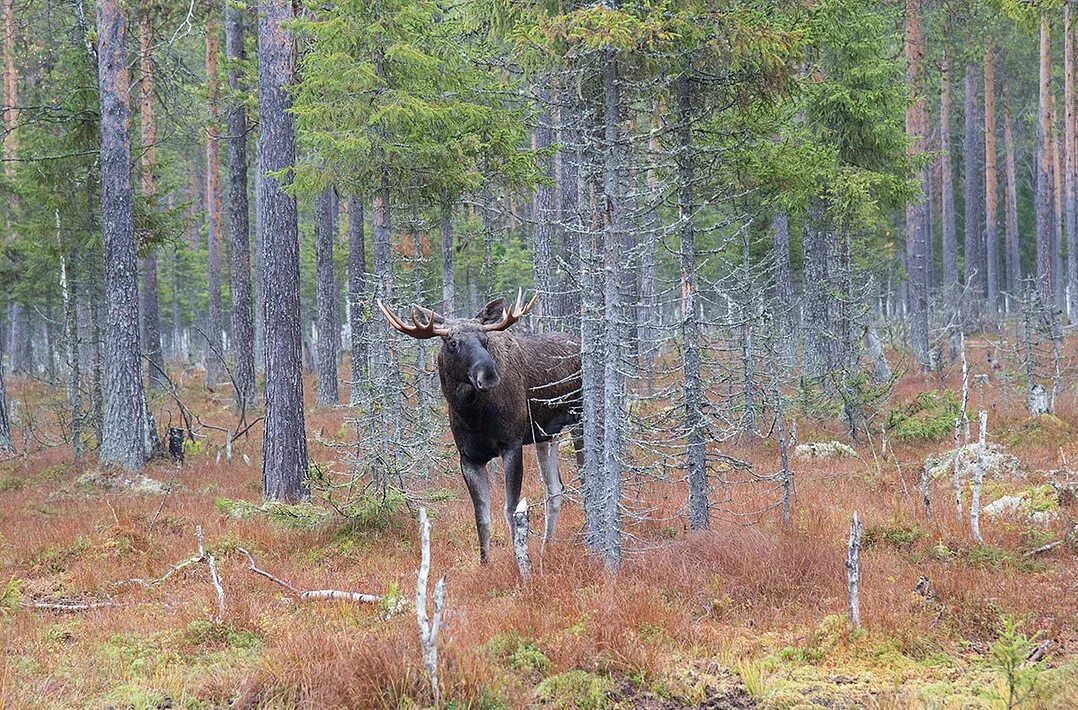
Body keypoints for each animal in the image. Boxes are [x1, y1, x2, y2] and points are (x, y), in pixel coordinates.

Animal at [379, 290, 582, 564]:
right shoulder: (468, 458)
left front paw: (518, 560)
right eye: (453, 343)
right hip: (547, 435)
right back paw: (546, 548)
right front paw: (485, 563)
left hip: (579, 419)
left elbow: (510, 509)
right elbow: (482, 518)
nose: (489, 375)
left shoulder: (511, 445)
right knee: (555, 488)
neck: (473, 416)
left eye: (485, 340)